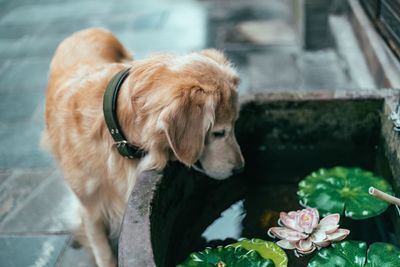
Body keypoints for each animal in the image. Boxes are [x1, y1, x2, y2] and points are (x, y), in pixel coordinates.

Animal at [43, 27, 244, 267]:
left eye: (235, 124)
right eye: (218, 133)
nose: (240, 168)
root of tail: (87, 30)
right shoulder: (90, 210)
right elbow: (103, 250)